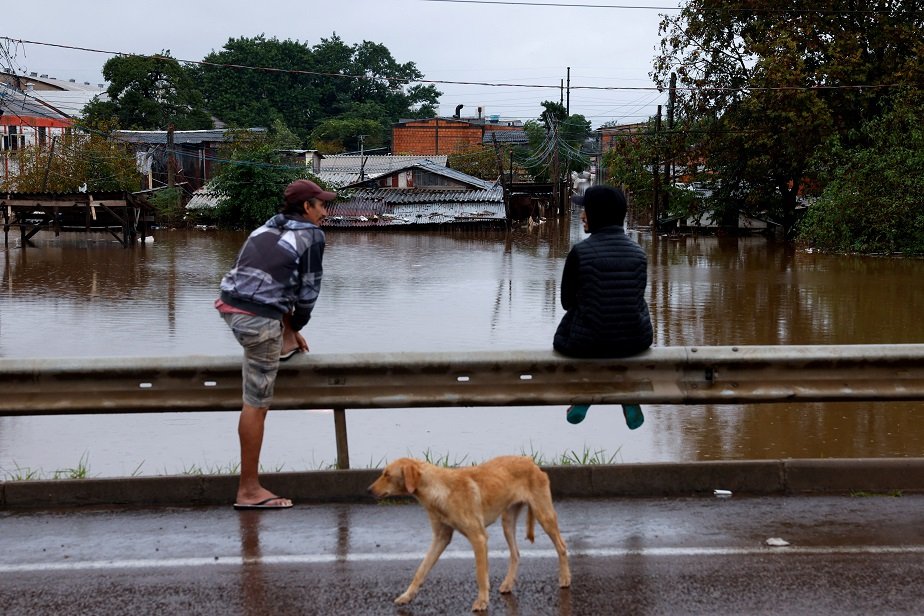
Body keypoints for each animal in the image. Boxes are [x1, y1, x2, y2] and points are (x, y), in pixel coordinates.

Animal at [366, 452, 572, 612]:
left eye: (386, 474)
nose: (368, 490)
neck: (439, 490)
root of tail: (531, 462)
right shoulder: (441, 538)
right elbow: (421, 570)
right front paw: (407, 595)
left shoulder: (479, 538)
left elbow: (480, 574)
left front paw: (482, 601)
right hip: (507, 521)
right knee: (516, 554)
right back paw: (508, 584)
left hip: (544, 515)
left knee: (562, 546)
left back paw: (565, 578)